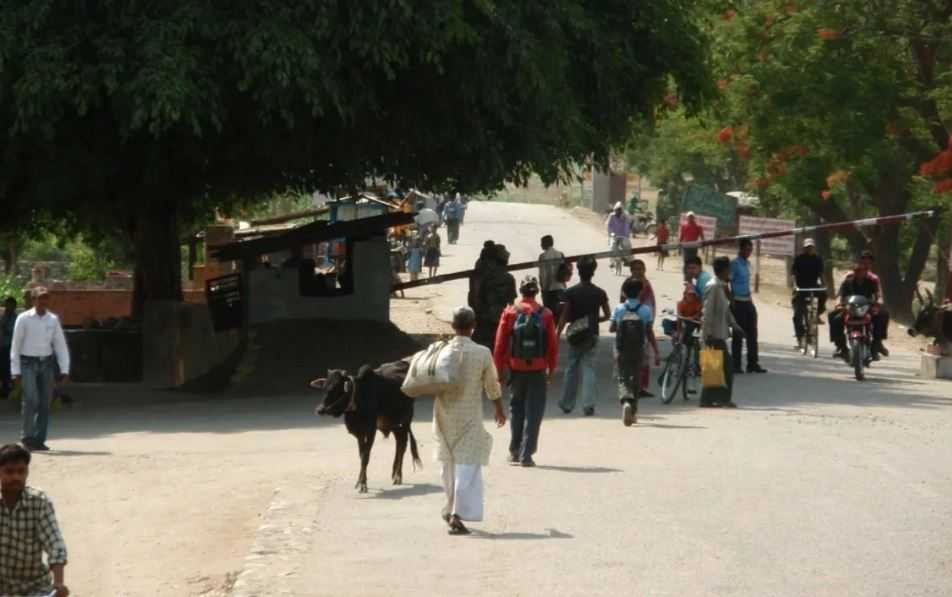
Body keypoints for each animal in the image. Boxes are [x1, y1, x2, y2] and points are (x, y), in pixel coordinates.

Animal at [312, 360, 420, 492]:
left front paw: (362, 484)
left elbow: (366, 456)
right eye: (324, 388)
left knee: (403, 445)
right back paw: (395, 474)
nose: (320, 410)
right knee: (399, 444)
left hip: (404, 422)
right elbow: (361, 454)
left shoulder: (370, 431)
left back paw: (398, 476)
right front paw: (360, 481)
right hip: (394, 425)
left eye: (336, 388)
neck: (358, 398)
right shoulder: (359, 433)